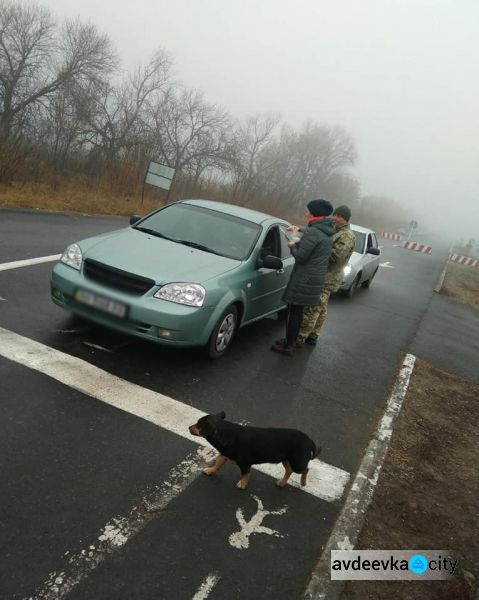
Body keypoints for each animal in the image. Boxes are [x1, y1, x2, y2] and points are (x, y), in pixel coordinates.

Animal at [189, 410, 320, 490]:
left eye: (198, 425)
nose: (189, 427)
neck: (225, 433)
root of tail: (310, 441)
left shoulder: (245, 464)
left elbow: (245, 475)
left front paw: (242, 484)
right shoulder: (224, 454)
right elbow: (218, 463)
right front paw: (210, 470)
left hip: (298, 462)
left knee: (305, 469)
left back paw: (303, 482)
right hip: (286, 459)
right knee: (289, 470)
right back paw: (281, 483)